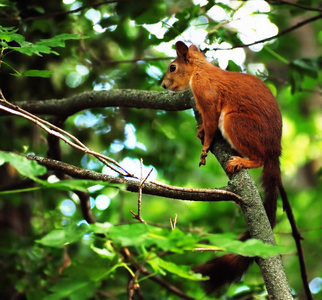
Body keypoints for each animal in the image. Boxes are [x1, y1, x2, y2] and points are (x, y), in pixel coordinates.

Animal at [162, 41, 288, 292]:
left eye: (172, 67)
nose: (162, 85)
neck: (200, 71)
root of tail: (274, 150)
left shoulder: (207, 95)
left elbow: (210, 124)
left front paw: (205, 146)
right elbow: (206, 126)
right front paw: (200, 131)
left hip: (236, 122)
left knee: (257, 157)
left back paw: (242, 161)